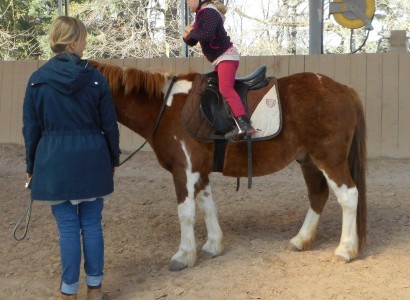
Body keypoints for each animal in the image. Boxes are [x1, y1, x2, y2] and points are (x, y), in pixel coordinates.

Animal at [91, 61, 366, 272]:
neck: (166, 108)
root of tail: (343, 89)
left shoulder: (184, 171)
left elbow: (186, 213)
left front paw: (184, 256)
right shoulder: (200, 172)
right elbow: (207, 206)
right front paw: (214, 245)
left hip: (330, 159)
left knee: (349, 196)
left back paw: (345, 249)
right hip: (308, 159)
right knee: (318, 195)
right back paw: (302, 240)